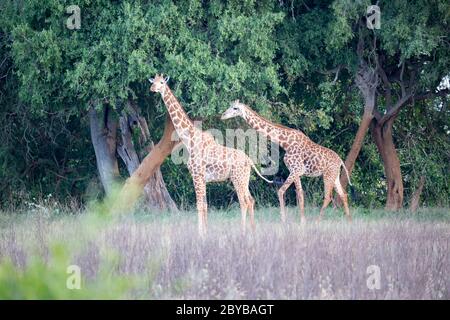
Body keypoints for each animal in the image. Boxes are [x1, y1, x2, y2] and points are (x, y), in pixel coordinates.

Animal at [149, 75, 272, 235]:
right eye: (153, 81)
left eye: (162, 82)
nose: (152, 88)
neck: (189, 140)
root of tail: (250, 161)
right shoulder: (203, 178)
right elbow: (205, 205)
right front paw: (206, 232)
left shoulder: (196, 175)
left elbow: (199, 205)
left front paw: (199, 233)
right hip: (244, 178)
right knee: (250, 200)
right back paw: (253, 230)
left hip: (237, 178)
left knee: (244, 202)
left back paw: (243, 231)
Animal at [221, 100, 352, 222]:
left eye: (235, 108)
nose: (222, 115)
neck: (284, 142)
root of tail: (340, 161)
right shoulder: (296, 172)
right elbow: (299, 194)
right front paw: (300, 220)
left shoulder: (295, 170)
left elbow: (283, 192)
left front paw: (286, 220)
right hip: (335, 176)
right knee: (344, 194)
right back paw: (348, 220)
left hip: (328, 175)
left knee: (328, 197)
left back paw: (318, 221)